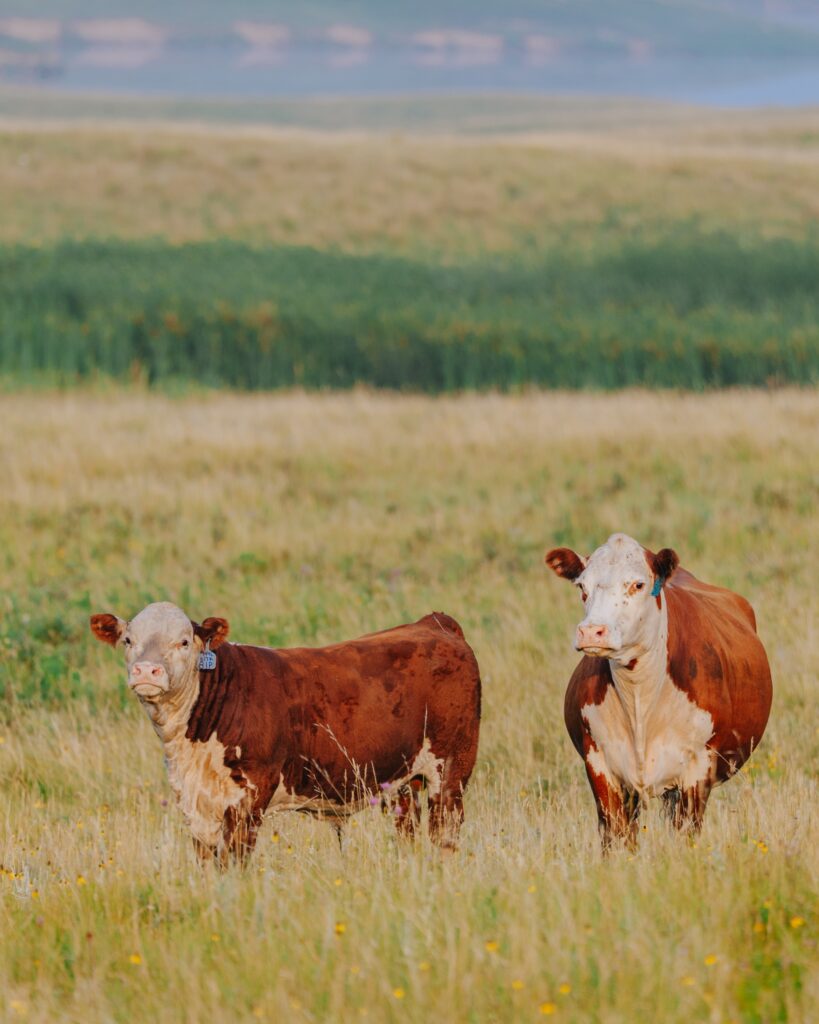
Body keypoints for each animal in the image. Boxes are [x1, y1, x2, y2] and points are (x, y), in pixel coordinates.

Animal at [90, 602, 481, 865]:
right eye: (128, 640)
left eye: (184, 642)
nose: (147, 670)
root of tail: (433, 624)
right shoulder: (193, 802)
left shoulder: (249, 796)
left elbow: (234, 861)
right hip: (404, 779)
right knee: (408, 829)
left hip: (452, 769)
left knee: (445, 831)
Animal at [545, 533, 772, 850]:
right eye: (582, 586)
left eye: (638, 584)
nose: (591, 632)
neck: (639, 695)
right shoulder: (600, 765)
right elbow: (616, 837)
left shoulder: (697, 768)